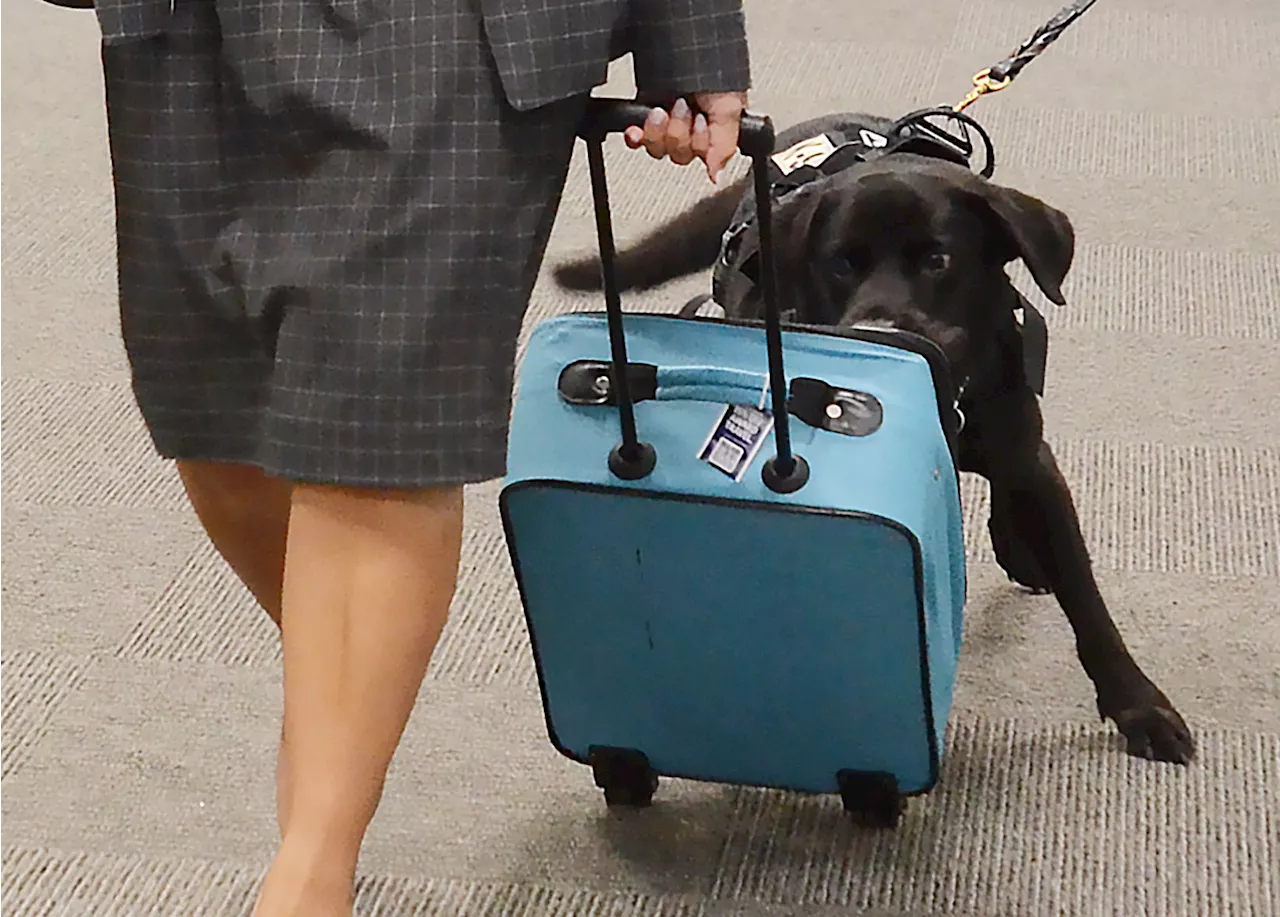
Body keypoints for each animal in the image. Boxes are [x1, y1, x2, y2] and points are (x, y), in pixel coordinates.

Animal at [555, 109, 1192, 768]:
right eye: (840, 263)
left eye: (938, 259)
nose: (878, 332)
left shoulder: (1027, 455)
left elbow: (1086, 600)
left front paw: (1139, 706)